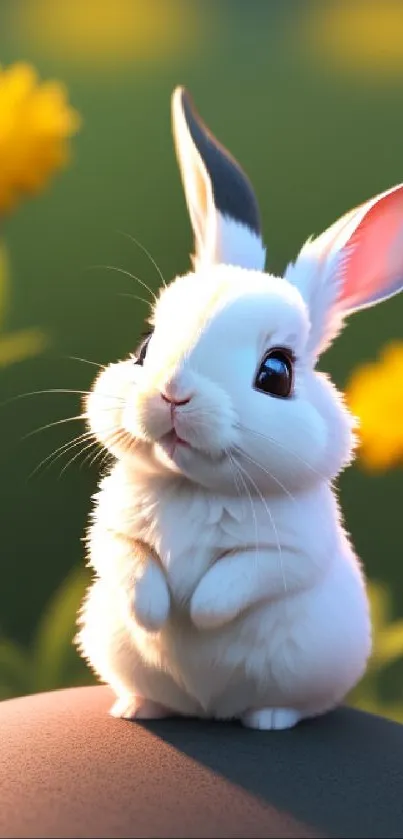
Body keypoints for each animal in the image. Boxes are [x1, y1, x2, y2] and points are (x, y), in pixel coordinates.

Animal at [76, 87, 403, 728]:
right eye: (144, 347)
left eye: (276, 373)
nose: (174, 393)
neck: (194, 487)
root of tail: (208, 711)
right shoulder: (112, 527)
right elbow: (126, 560)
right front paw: (156, 615)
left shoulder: (292, 549)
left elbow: (245, 575)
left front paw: (198, 614)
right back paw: (136, 709)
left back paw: (267, 719)